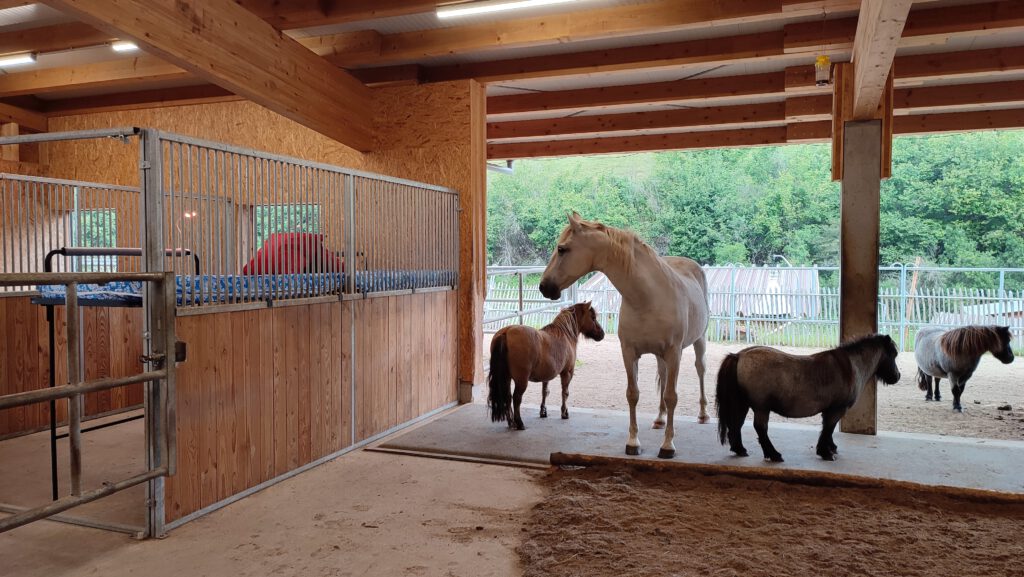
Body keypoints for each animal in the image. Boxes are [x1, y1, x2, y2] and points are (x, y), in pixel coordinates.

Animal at [536, 212, 712, 461]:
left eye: (562, 249)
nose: (544, 287)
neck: (648, 298)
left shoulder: (674, 353)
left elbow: (671, 396)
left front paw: (667, 445)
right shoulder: (629, 353)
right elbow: (633, 394)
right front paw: (633, 443)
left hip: (698, 342)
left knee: (700, 369)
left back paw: (703, 414)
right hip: (661, 356)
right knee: (663, 375)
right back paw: (660, 419)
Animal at [716, 336, 901, 463]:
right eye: (893, 354)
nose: (897, 376)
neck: (850, 367)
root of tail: (739, 356)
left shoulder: (829, 410)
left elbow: (828, 429)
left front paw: (831, 448)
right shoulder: (836, 409)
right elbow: (828, 429)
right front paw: (825, 452)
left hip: (743, 404)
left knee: (736, 425)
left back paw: (740, 449)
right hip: (762, 408)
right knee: (760, 429)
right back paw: (774, 454)